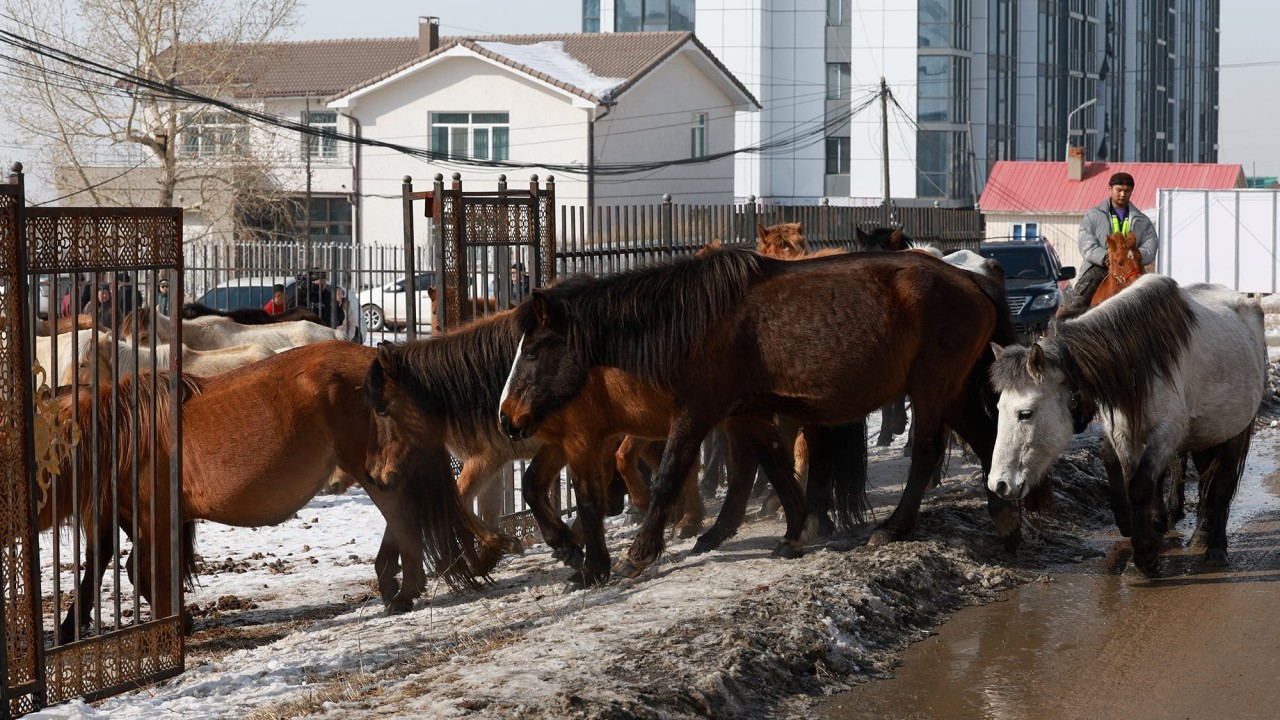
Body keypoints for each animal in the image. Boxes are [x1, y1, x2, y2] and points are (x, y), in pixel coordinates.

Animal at [45, 338, 481, 635]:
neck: (124, 433)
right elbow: (131, 568)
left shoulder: (154, 518)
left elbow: (149, 569)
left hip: (372, 470)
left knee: (402, 514)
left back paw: (403, 591)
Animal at [499, 245, 1018, 576]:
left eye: (534, 351)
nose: (507, 417)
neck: (697, 321)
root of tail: (973, 279)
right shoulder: (744, 412)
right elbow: (775, 465)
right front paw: (798, 530)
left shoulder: (696, 412)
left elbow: (670, 477)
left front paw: (641, 553)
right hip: (953, 393)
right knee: (987, 441)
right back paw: (1003, 516)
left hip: (933, 389)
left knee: (927, 451)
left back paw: (895, 528)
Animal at [983, 271, 1264, 573]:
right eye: (998, 408)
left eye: (1025, 413)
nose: (999, 484)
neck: (1138, 362)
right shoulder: (1123, 434)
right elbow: (1133, 482)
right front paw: (1147, 544)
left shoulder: (1166, 434)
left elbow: (1141, 487)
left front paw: (1145, 558)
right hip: (1206, 432)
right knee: (1205, 477)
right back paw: (1199, 533)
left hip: (1234, 431)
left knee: (1223, 483)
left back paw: (1216, 547)